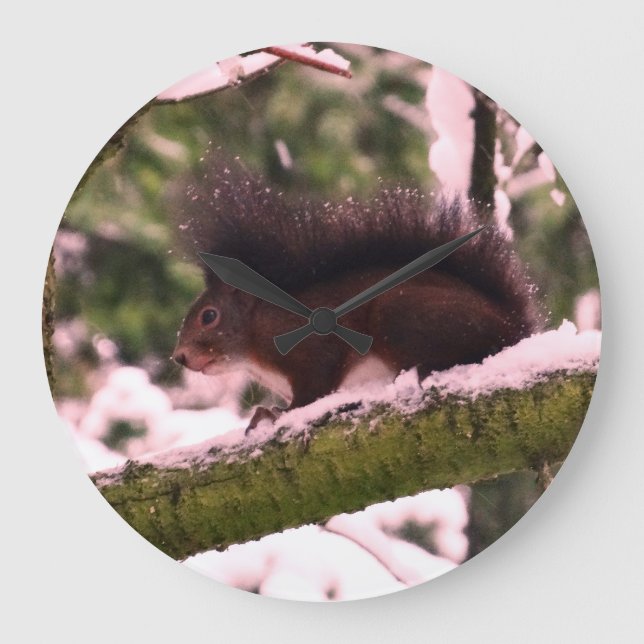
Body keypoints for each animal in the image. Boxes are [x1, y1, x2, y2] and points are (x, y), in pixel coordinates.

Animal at [171, 157, 538, 429]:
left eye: (209, 316)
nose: (180, 357)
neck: (255, 337)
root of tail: (514, 324)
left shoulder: (314, 353)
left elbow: (313, 391)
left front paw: (275, 414)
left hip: (399, 313)